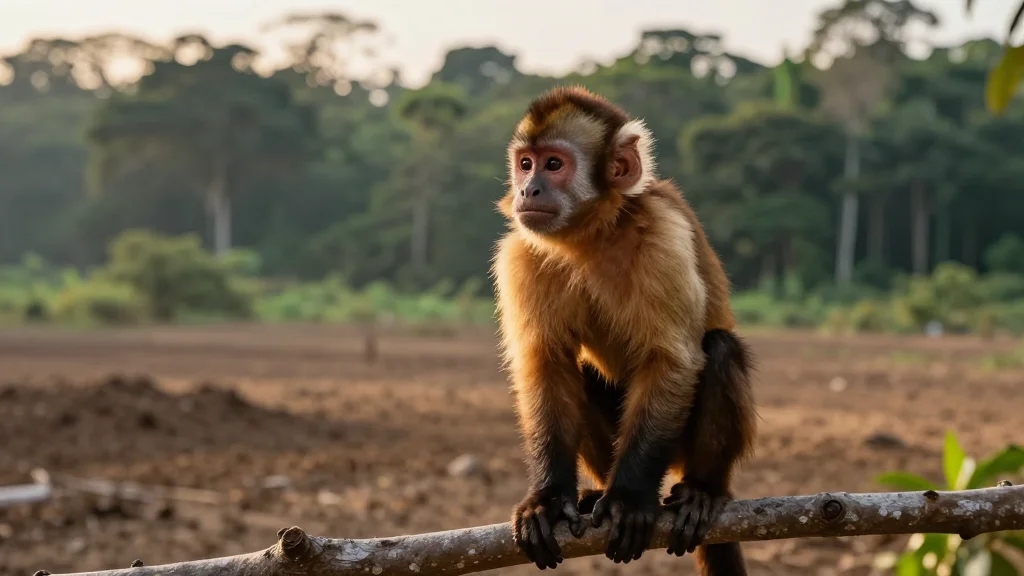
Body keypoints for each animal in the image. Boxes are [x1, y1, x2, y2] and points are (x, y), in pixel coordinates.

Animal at [490, 86, 757, 575]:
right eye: (525, 163)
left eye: (553, 164)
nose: (527, 189)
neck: (591, 236)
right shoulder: (521, 253)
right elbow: (547, 364)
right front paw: (547, 499)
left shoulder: (662, 236)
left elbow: (671, 361)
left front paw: (629, 500)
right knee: (581, 371)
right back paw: (596, 490)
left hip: (677, 451)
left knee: (721, 348)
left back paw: (703, 490)